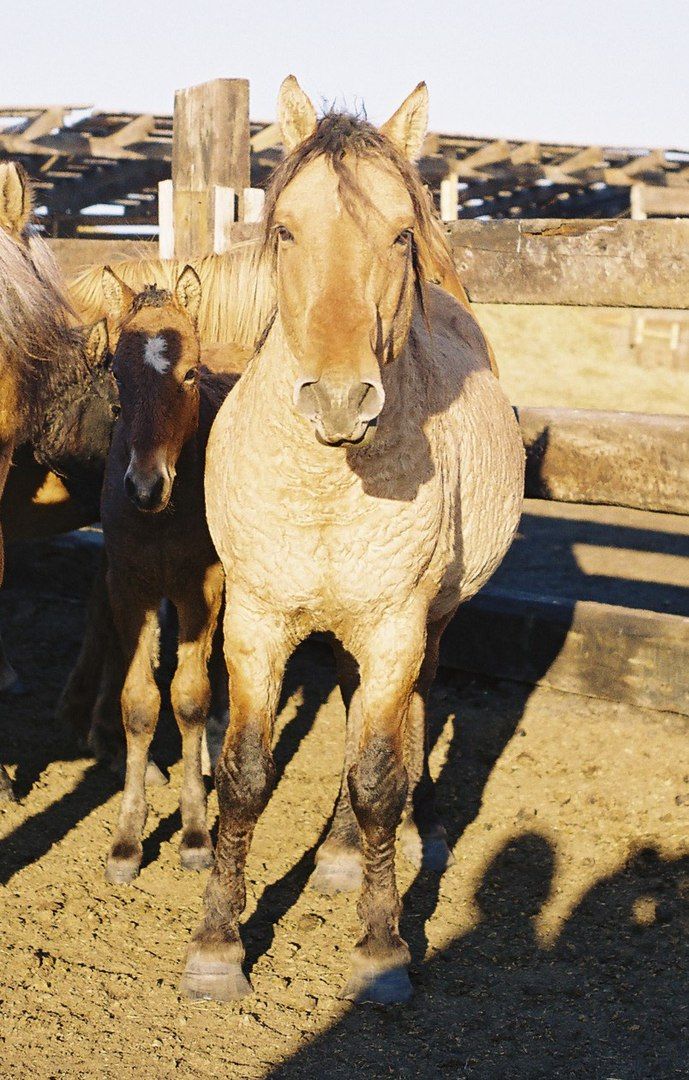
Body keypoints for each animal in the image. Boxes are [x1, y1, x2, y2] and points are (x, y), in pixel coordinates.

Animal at [181, 79, 527, 1006]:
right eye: (286, 231)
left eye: (399, 234)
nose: (339, 400)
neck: (329, 487)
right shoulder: (255, 623)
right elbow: (245, 776)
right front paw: (217, 945)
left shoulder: (394, 625)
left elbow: (378, 777)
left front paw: (380, 948)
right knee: (348, 707)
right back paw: (337, 854)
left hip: (426, 628)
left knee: (412, 713)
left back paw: (418, 834)